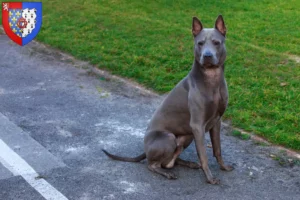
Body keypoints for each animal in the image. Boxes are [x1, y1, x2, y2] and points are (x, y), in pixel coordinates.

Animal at [103, 15, 234, 184]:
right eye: (200, 43)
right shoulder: (197, 125)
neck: (212, 80)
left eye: (217, 42)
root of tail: (145, 150)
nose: (207, 56)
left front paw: (224, 167)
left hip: (187, 136)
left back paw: (189, 163)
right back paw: (167, 173)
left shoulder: (216, 122)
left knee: (170, 161)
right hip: (169, 137)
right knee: (153, 165)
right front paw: (210, 178)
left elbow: (217, 149)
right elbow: (204, 155)